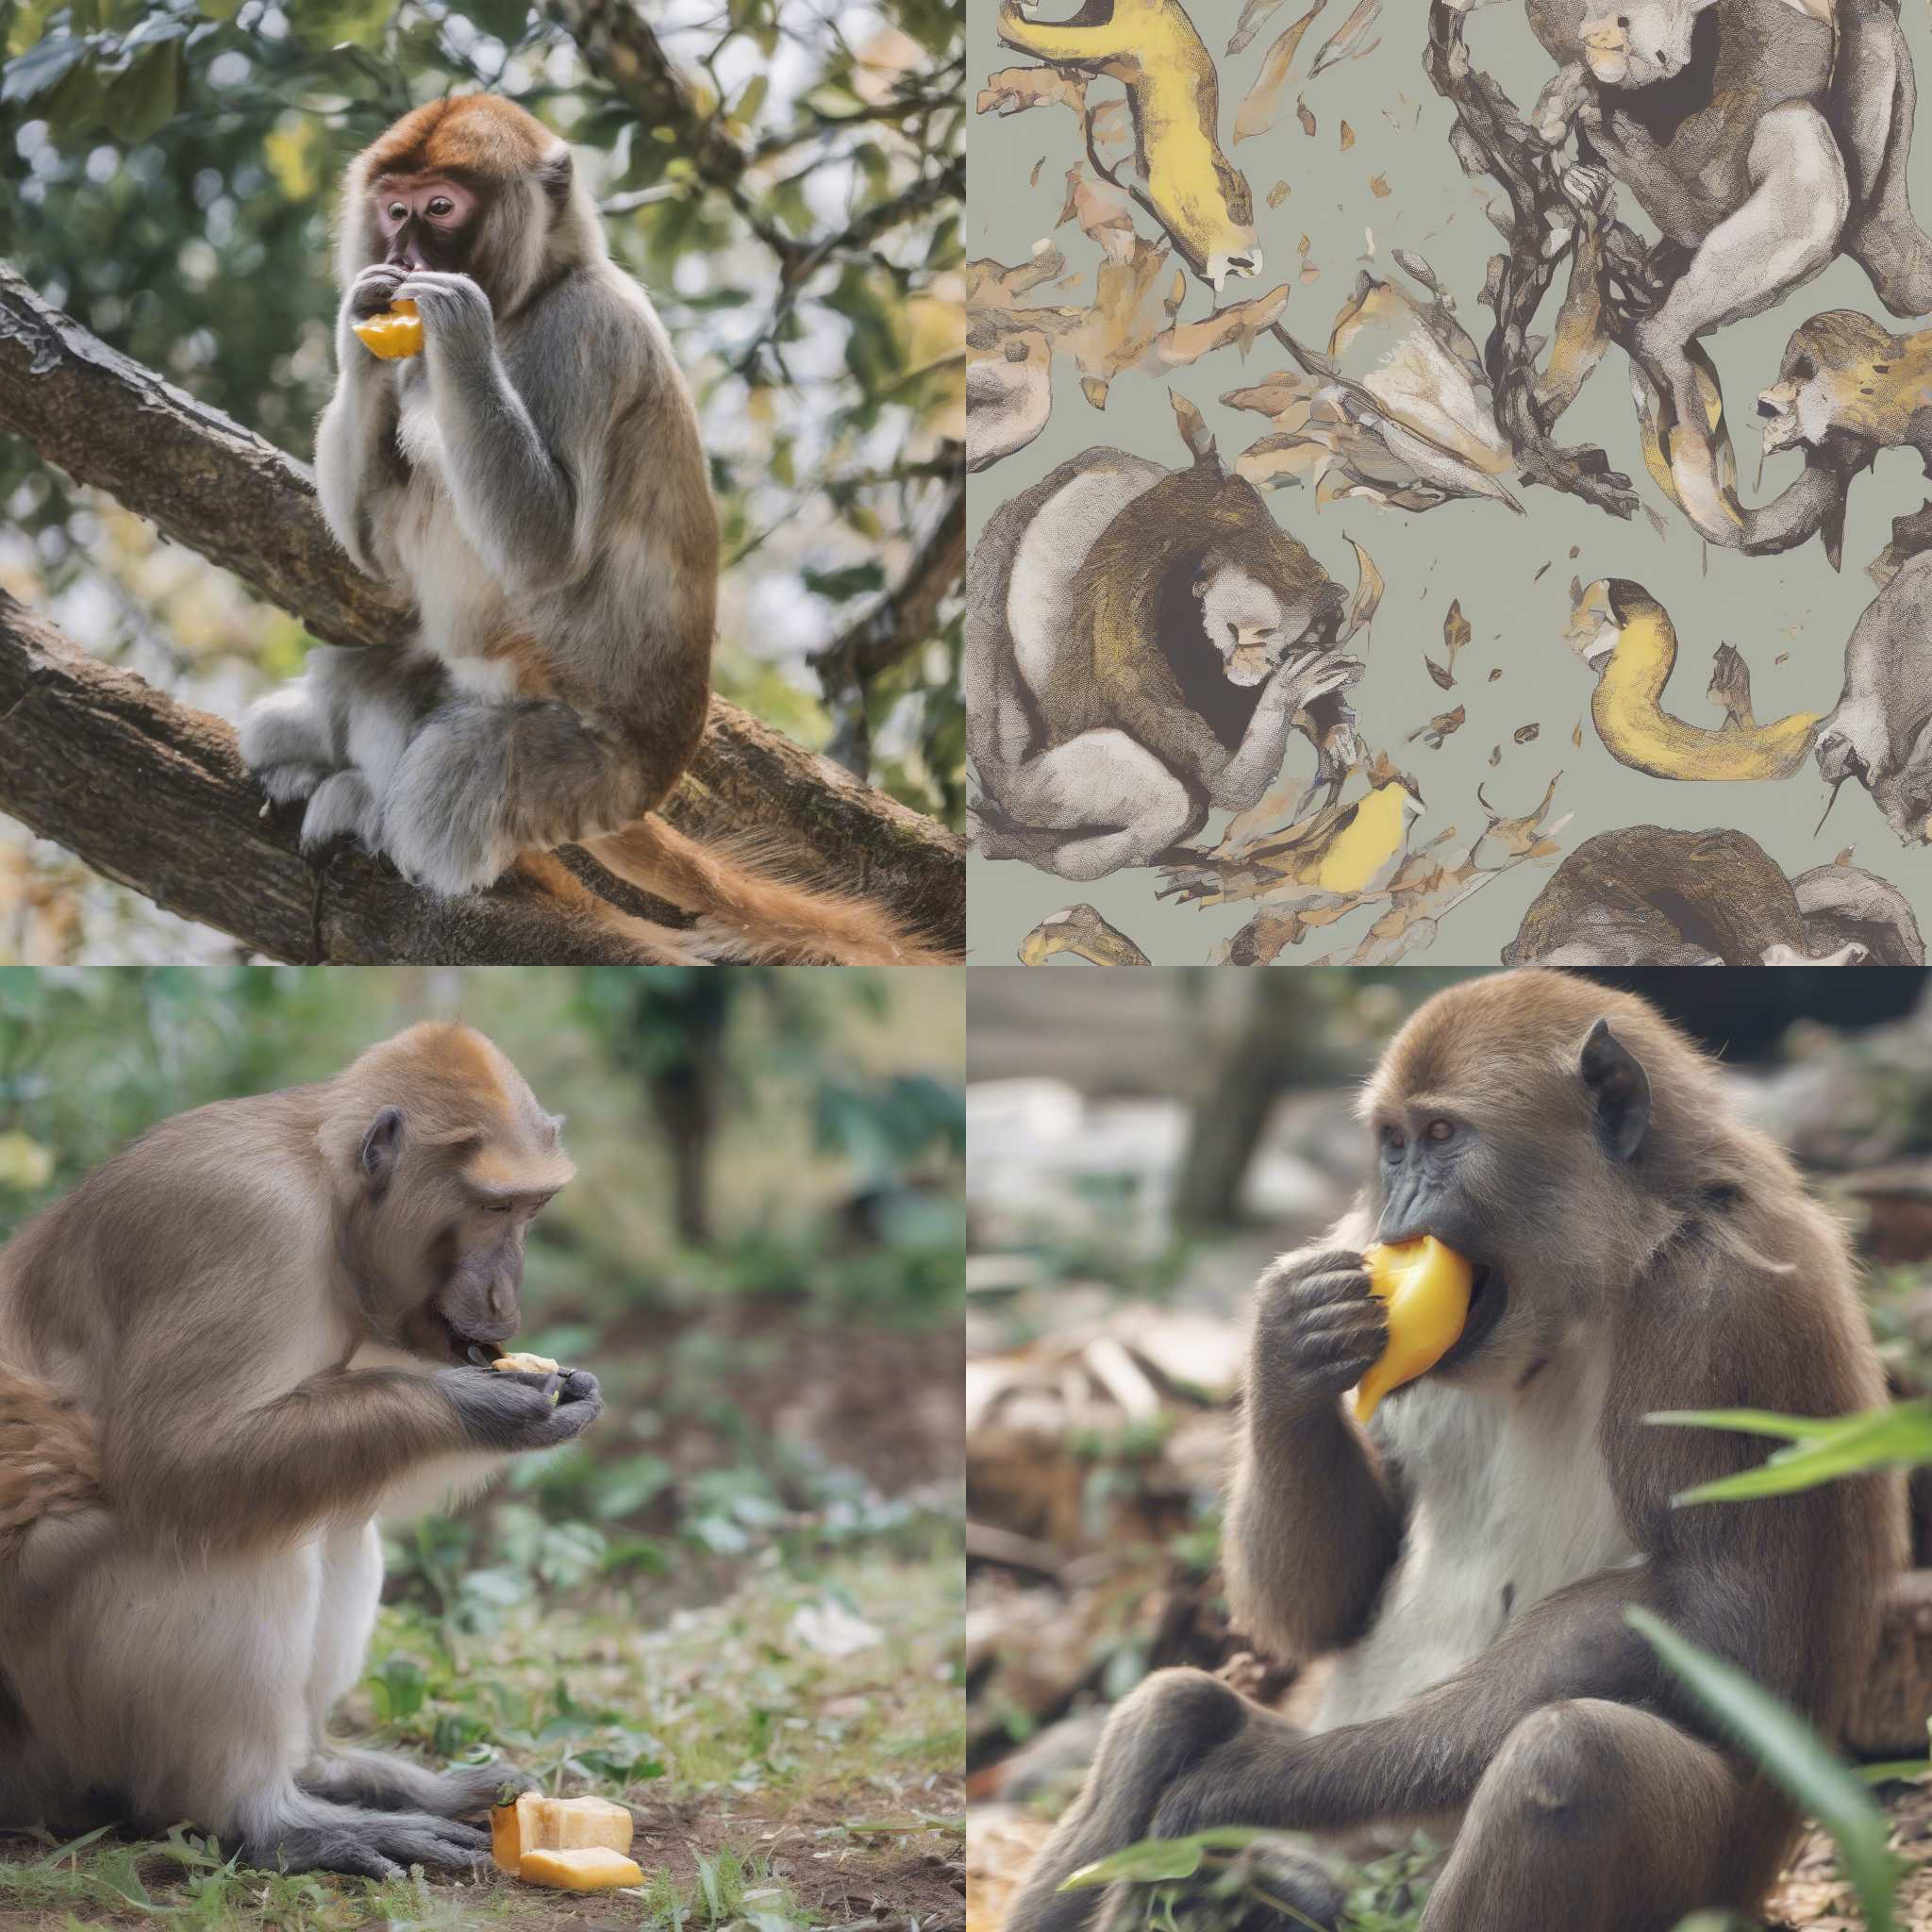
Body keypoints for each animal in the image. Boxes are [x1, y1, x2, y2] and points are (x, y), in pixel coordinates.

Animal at [0, 1020, 598, 1877]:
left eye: (530, 1209)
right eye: (493, 1206)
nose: (503, 1294)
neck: (324, 1190)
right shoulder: (246, 1221)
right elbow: (176, 1466)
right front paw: (486, 1407)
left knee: (332, 1509)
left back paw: (335, 1772)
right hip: (51, 1702)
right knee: (229, 1538)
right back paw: (272, 1819)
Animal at [237, 93, 946, 966]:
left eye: (441, 209)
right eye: (395, 209)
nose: (402, 253)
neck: (531, 296)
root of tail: (652, 779)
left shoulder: (587, 332)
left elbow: (544, 550)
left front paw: (458, 329)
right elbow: (377, 553)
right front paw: (358, 322)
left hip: (587, 772)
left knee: (458, 770)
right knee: (359, 677)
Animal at [961, 441, 1359, 880]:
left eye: (1265, 636)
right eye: (1235, 632)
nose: (1248, 663)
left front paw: (1332, 723)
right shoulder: (1130, 600)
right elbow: (1228, 784)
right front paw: (1289, 695)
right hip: (1031, 793)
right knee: (1165, 799)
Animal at [1004, 974, 1908, 1932]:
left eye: (1442, 1137)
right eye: (1394, 1146)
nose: (1397, 1216)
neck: (1609, 1274)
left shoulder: (1716, 1310)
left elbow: (1707, 1619)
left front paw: (1255, 1781)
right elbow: (1335, 1600)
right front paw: (1287, 1349)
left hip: (1708, 1880)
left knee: (1574, 1757)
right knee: (1172, 1707)